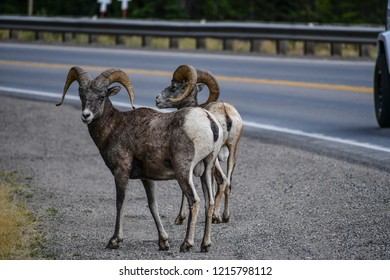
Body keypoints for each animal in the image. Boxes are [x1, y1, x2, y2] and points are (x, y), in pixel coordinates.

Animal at [56, 66, 224, 253]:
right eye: (81, 95)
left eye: (101, 96)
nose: (86, 116)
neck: (113, 127)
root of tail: (209, 121)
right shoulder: (147, 178)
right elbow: (153, 206)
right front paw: (163, 242)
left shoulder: (121, 171)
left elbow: (120, 203)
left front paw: (114, 240)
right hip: (207, 169)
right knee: (209, 202)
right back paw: (205, 244)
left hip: (184, 171)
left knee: (195, 201)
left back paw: (186, 244)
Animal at [156, 64, 244, 224]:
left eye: (173, 86)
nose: (157, 99)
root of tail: (226, 113)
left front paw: (180, 218)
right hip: (233, 150)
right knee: (228, 182)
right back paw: (225, 216)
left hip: (215, 157)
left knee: (222, 180)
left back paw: (216, 217)